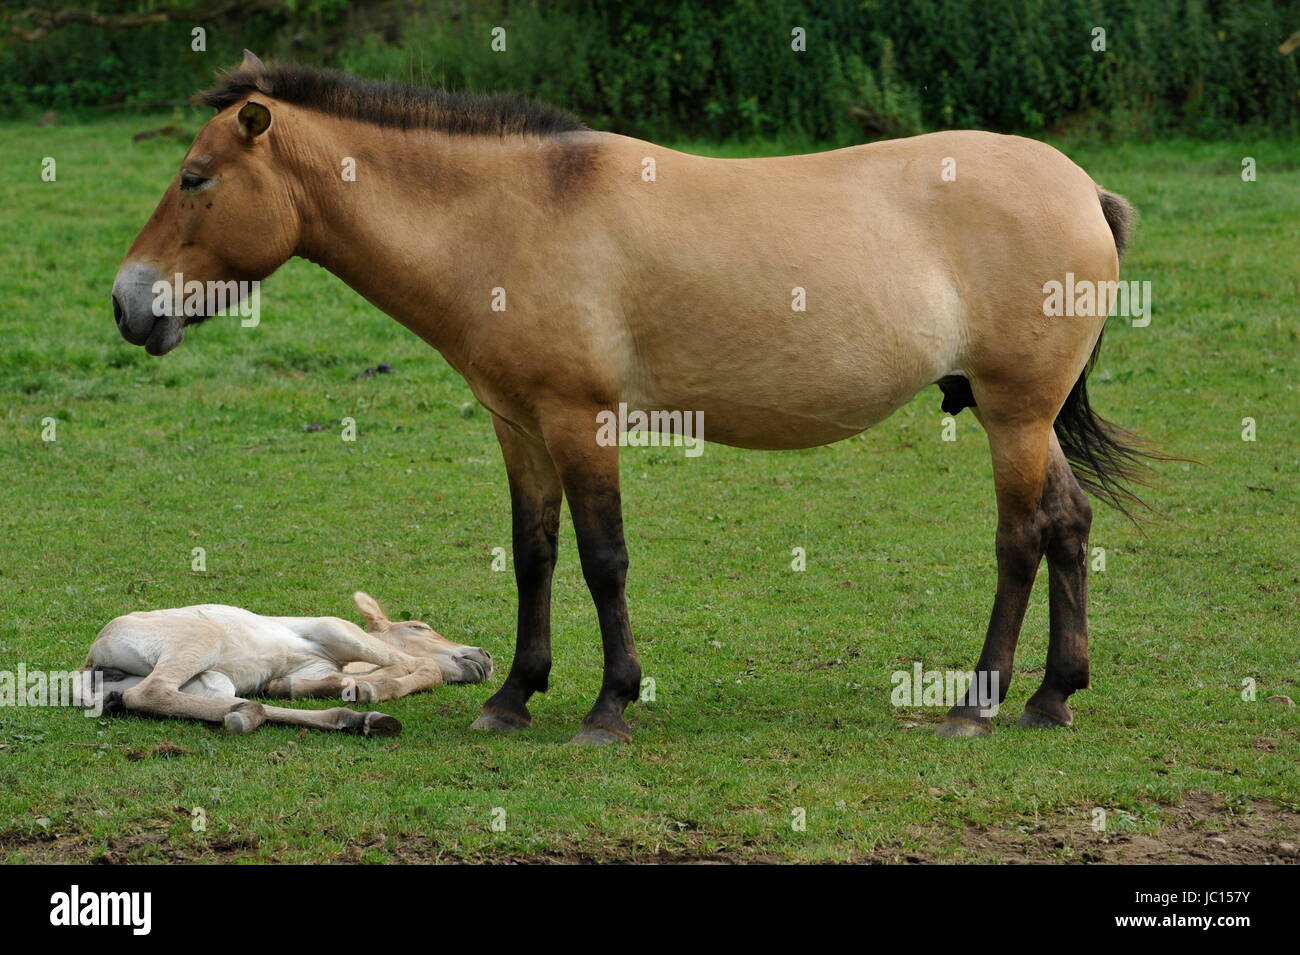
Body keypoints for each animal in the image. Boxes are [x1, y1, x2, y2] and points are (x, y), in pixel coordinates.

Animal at [111, 51, 1154, 745]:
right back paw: (1053, 695)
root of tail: (1083, 190)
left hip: (1014, 414)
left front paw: (609, 704)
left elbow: (603, 558)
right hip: (1018, 415)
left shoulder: (584, 421)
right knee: (1069, 523)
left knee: (1022, 539)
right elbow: (535, 556)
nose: (128, 302)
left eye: (194, 178)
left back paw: (978, 704)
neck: (511, 215)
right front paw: (511, 696)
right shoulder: (520, 424)